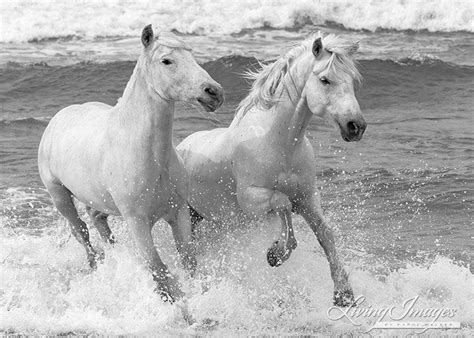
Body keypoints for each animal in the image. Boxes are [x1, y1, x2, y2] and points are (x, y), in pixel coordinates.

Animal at [38, 25, 223, 302]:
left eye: (192, 55)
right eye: (166, 60)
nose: (213, 92)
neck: (150, 158)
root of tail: (58, 118)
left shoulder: (177, 212)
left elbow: (189, 261)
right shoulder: (137, 222)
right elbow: (159, 270)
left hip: (97, 199)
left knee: (98, 220)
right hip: (59, 196)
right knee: (81, 231)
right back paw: (96, 267)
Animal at [178, 33, 366, 306]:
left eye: (353, 81)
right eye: (325, 79)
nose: (356, 126)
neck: (280, 144)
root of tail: (182, 146)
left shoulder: (308, 198)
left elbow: (325, 234)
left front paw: (343, 293)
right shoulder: (252, 199)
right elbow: (283, 203)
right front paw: (276, 253)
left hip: (219, 223)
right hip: (189, 218)